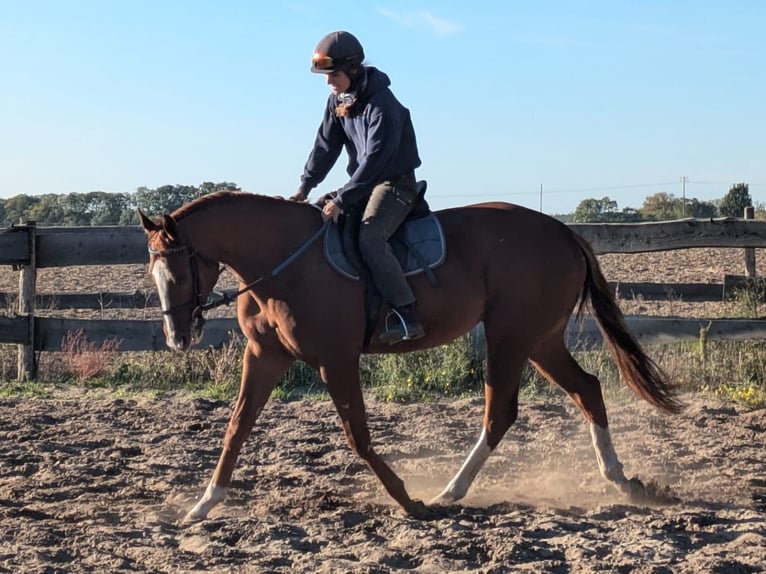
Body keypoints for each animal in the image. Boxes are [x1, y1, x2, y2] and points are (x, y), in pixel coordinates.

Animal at [140, 192, 684, 520]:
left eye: (181, 272)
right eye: (153, 272)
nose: (177, 338)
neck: (285, 262)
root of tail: (563, 232)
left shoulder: (335, 360)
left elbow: (357, 437)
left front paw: (408, 501)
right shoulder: (264, 356)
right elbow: (236, 428)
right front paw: (203, 505)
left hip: (512, 337)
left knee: (500, 413)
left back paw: (450, 492)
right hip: (541, 341)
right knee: (586, 389)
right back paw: (620, 480)